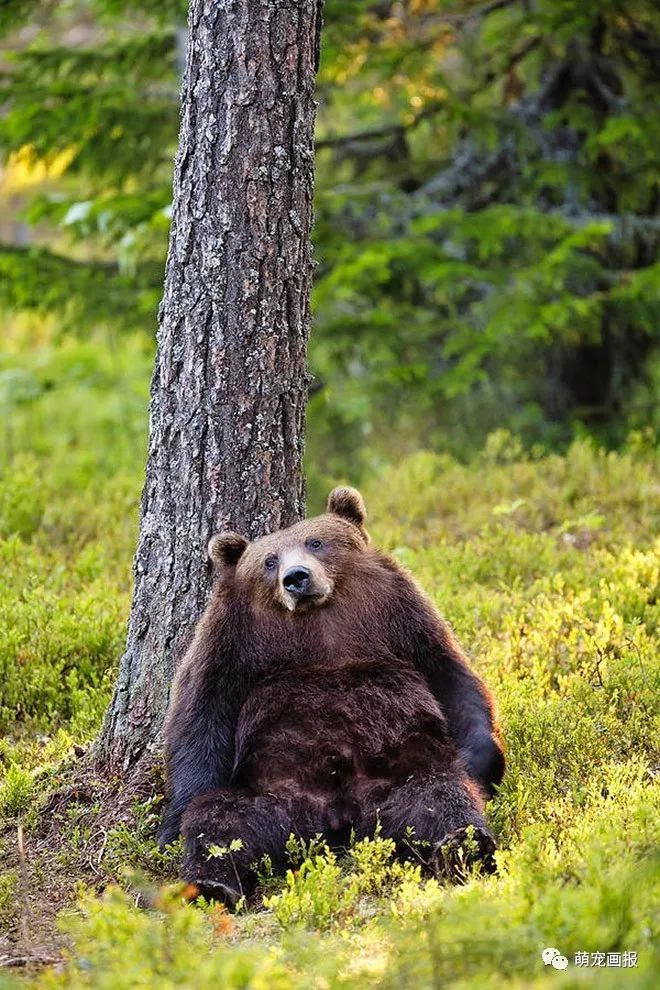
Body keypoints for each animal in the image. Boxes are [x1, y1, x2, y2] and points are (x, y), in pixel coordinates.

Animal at [160, 488, 506, 908]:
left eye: (316, 542)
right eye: (269, 561)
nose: (295, 577)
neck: (320, 617)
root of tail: (340, 818)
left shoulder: (398, 611)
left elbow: (449, 674)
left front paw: (481, 758)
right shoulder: (232, 637)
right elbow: (202, 711)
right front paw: (171, 825)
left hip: (399, 781)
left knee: (439, 796)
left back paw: (463, 845)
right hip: (273, 796)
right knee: (222, 818)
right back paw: (211, 883)